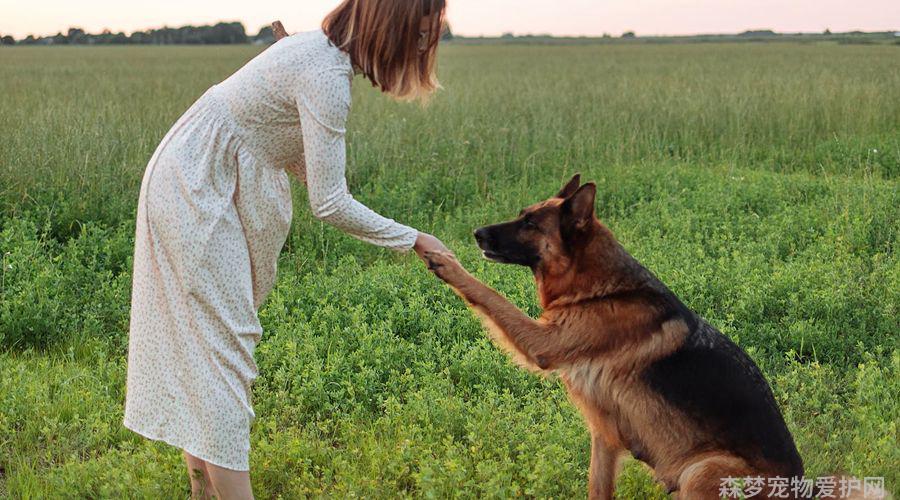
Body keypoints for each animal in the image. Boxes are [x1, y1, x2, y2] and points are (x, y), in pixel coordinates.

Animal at [426, 175, 804, 496]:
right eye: (521, 215)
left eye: (531, 224)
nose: (477, 233)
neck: (599, 290)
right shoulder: (605, 437)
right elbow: (598, 487)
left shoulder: (544, 343)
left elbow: (491, 295)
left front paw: (447, 264)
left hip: (702, 470)